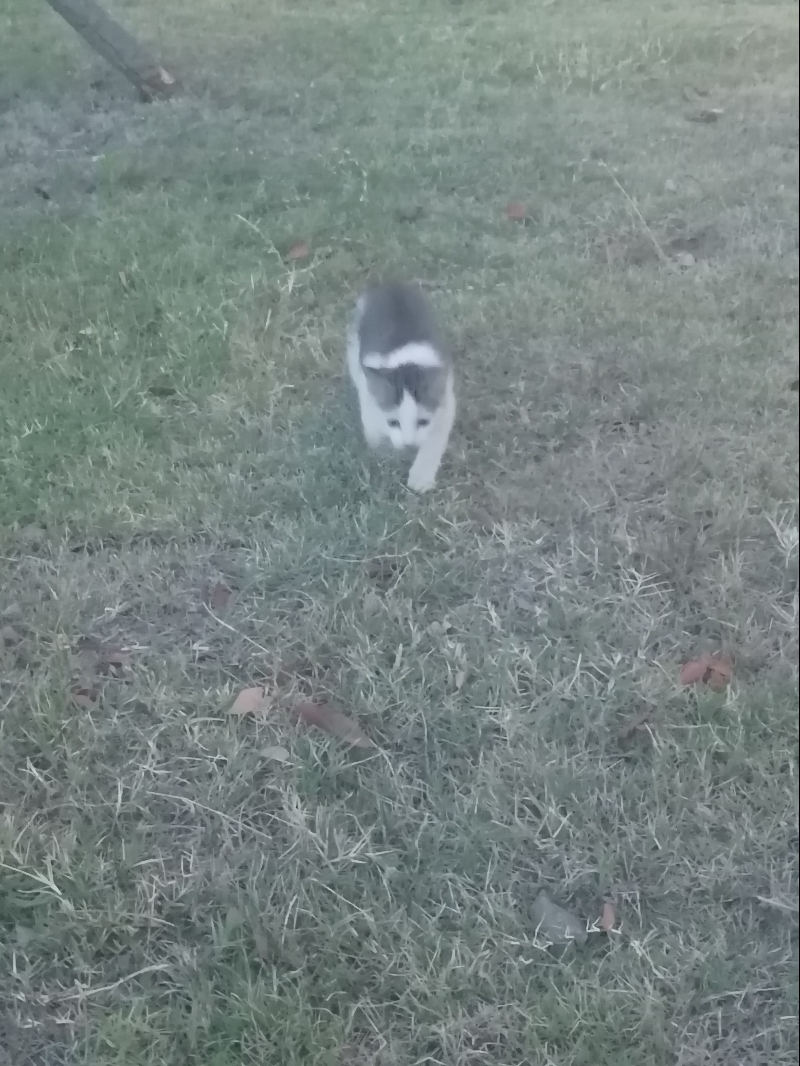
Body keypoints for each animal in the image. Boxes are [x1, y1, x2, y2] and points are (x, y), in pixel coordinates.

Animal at [345, 277, 456, 488]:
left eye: (423, 421)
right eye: (393, 422)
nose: (409, 445)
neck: (406, 361)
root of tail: (390, 283)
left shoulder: (446, 400)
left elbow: (435, 439)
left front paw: (421, 477)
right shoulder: (368, 392)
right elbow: (373, 423)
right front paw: (382, 453)